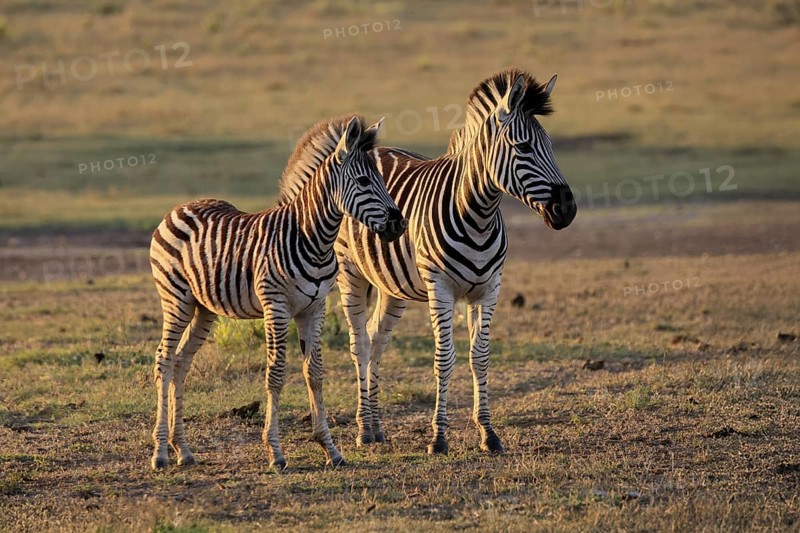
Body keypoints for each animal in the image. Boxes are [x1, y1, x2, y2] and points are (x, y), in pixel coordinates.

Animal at [148, 115, 406, 471]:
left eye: (381, 179)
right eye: (364, 181)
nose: (399, 225)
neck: (312, 237)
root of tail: (179, 207)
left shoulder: (314, 307)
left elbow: (315, 374)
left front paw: (330, 449)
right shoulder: (277, 306)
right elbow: (276, 374)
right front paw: (275, 452)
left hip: (204, 308)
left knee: (181, 361)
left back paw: (183, 450)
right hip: (176, 298)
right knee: (163, 360)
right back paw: (160, 453)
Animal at [335, 69, 577, 455]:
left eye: (551, 146)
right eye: (523, 147)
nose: (567, 210)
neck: (478, 214)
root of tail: (375, 150)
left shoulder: (489, 289)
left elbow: (480, 357)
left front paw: (489, 433)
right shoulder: (441, 289)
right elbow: (444, 358)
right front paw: (439, 437)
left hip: (393, 287)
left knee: (376, 339)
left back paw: (376, 426)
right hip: (350, 272)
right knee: (359, 343)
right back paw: (362, 429)